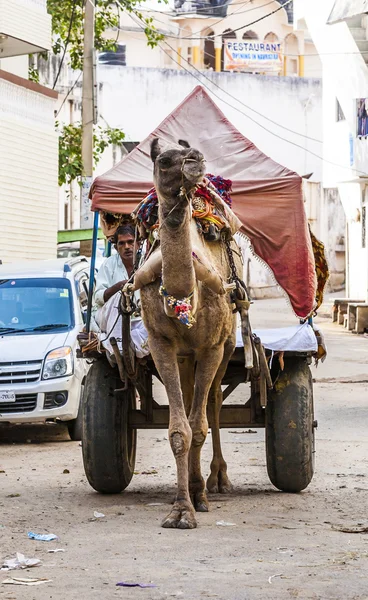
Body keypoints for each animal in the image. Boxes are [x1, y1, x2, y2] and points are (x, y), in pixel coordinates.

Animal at [126, 138, 250, 528]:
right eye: (164, 160)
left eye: (189, 152)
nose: (196, 160)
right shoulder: (161, 343)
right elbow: (180, 430)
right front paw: (181, 508)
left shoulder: (211, 346)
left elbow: (199, 425)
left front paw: (196, 498)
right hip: (184, 357)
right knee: (195, 395)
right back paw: (196, 487)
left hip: (226, 344)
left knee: (214, 403)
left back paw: (215, 481)